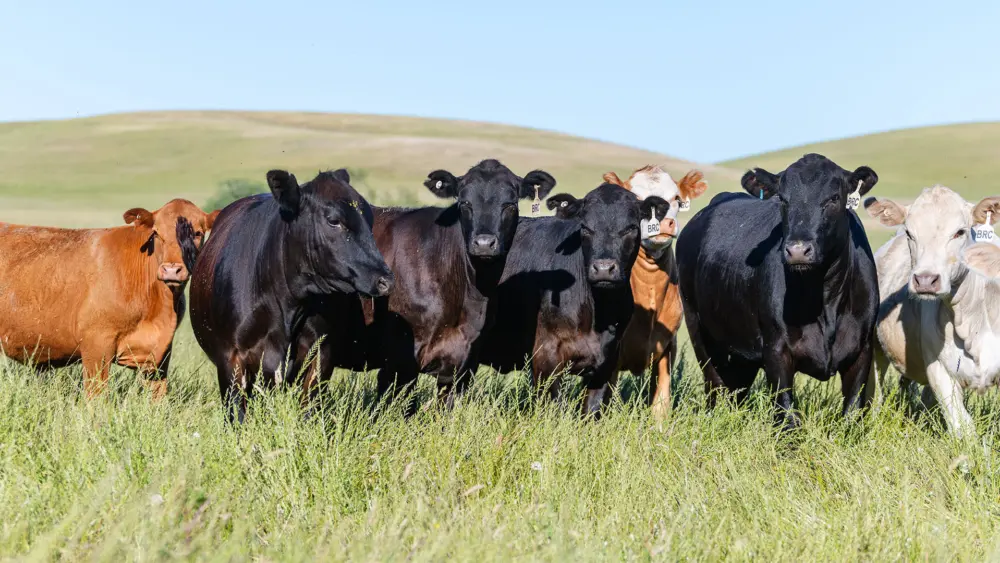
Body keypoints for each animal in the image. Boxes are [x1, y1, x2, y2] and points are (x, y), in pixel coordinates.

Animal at [0, 199, 219, 398]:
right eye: (156, 233)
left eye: (198, 233)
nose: (171, 270)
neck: (160, 309)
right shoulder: (96, 345)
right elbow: (97, 399)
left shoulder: (161, 352)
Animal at [188, 169, 394, 422]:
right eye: (334, 220)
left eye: (370, 220)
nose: (385, 280)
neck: (288, 306)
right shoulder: (231, 359)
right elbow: (238, 416)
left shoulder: (321, 354)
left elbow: (309, 410)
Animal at [478, 183, 671, 416]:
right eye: (585, 227)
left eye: (631, 227)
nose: (604, 268)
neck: (598, 313)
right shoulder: (546, 357)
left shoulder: (607, 361)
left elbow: (592, 410)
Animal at [676, 153, 880, 429]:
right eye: (782, 199)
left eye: (834, 198)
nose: (798, 250)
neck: (824, 301)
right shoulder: (776, 350)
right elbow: (787, 415)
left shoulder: (862, 349)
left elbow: (851, 412)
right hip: (697, 327)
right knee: (714, 386)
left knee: (736, 391)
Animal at [864, 186, 1000, 437]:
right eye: (910, 233)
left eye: (959, 232)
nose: (926, 280)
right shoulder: (939, 369)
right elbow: (963, 428)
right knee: (874, 393)